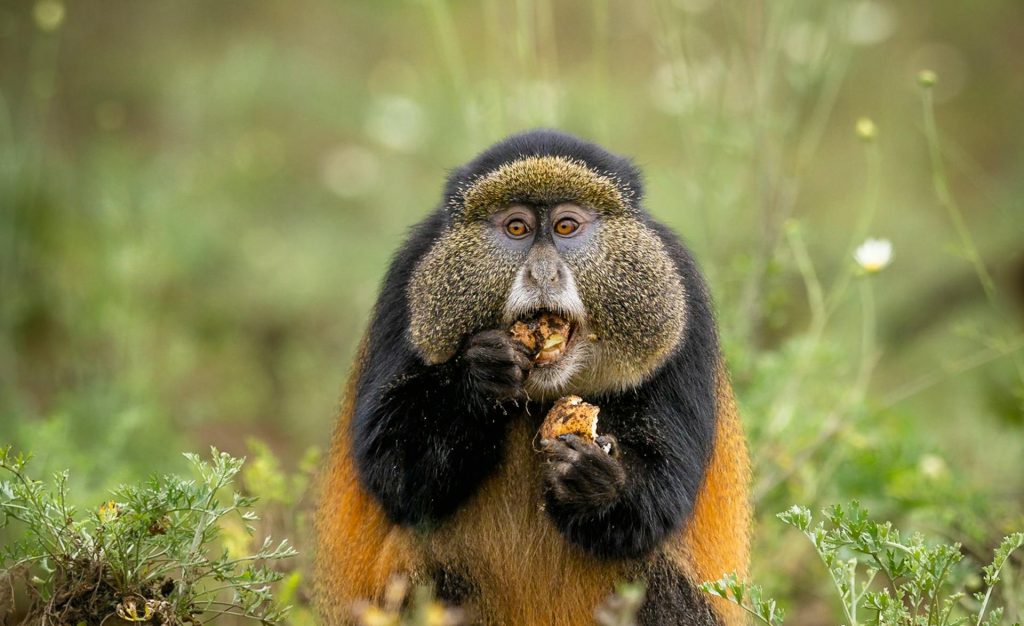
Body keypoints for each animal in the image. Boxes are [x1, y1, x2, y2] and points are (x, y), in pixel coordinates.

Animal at [314, 129, 750, 626]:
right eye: (517, 229)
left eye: (566, 227)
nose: (543, 272)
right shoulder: (407, 277)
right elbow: (394, 469)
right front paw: (479, 377)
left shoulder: (682, 295)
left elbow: (663, 496)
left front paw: (593, 480)